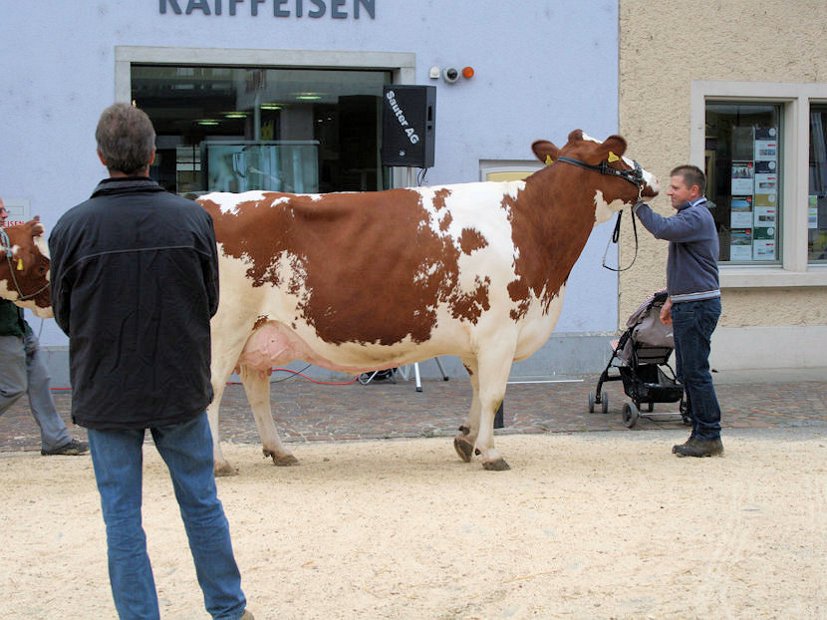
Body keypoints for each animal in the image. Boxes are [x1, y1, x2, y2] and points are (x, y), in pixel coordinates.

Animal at [199, 128, 660, 472]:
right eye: (618, 158)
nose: (652, 181)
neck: (533, 225)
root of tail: (207, 200)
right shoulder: (498, 331)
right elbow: (493, 394)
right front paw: (491, 453)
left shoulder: (478, 336)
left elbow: (477, 390)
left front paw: (466, 442)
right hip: (224, 329)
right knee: (215, 389)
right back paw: (219, 462)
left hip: (259, 332)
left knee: (256, 388)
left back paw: (279, 451)